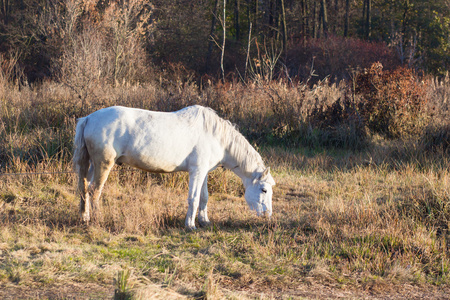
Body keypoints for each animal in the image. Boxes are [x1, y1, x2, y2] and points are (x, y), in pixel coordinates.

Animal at [72, 105, 276, 230]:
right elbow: (193, 198)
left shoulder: (204, 173)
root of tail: (89, 118)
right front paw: (190, 225)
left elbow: (204, 197)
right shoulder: (196, 172)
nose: (268, 215)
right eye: (264, 190)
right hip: (103, 164)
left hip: (92, 164)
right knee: (94, 190)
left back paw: (85, 217)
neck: (215, 135)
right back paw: (97, 220)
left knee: (84, 189)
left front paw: (204, 221)